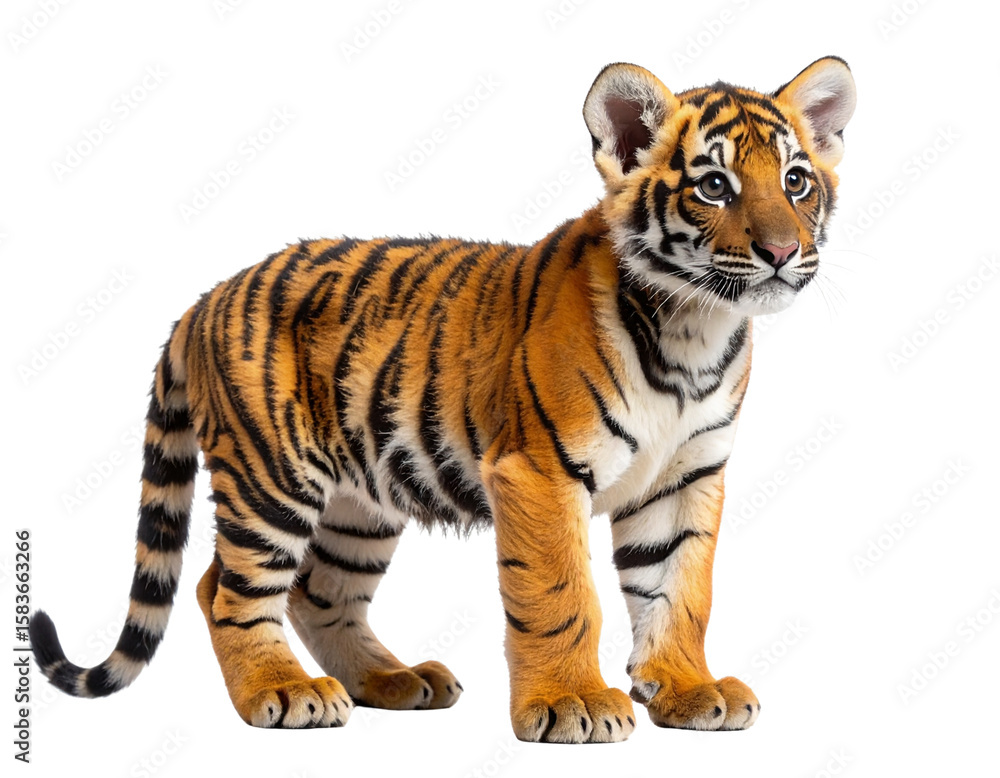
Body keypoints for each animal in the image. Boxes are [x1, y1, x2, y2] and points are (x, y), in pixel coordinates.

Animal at [29, 56, 855, 743]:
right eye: (715, 186)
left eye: (795, 181)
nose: (782, 252)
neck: (694, 328)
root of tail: (203, 298)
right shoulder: (539, 471)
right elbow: (561, 594)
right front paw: (572, 704)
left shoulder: (685, 478)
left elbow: (679, 589)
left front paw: (687, 690)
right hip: (272, 475)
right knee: (225, 589)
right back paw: (282, 691)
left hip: (358, 500)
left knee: (318, 593)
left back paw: (394, 681)